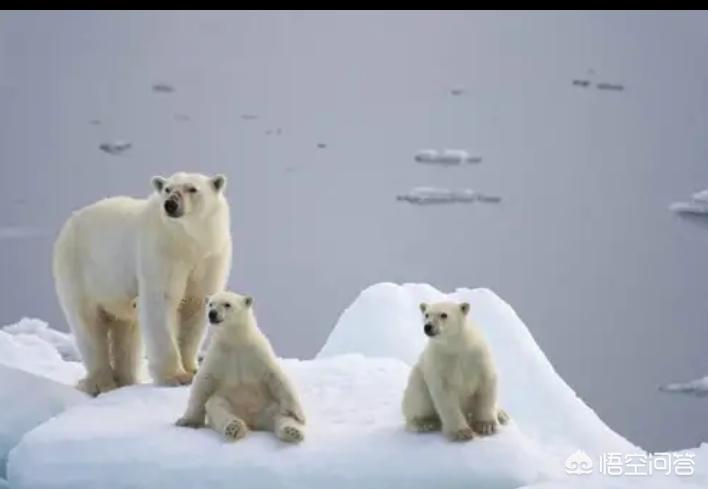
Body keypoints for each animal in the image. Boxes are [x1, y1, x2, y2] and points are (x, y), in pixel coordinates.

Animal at [56, 172, 232, 392]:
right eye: (167, 189)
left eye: (192, 188)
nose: (170, 204)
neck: (186, 242)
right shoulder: (162, 253)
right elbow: (161, 302)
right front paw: (175, 376)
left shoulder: (210, 257)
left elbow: (195, 306)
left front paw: (192, 371)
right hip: (81, 273)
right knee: (89, 325)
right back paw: (101, 383)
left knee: (126, 331)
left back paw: (126, 379)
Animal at [176, 292, 306, 444]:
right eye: (211, 304)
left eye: (227, 304)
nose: (212, 314)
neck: (236, 340)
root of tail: (252, 420)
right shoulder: (218, 356)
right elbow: (204, 381)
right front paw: (186, 421)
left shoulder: (257, 352)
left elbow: (276, 376)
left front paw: (299, 415)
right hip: (229, 403)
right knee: (218, 407)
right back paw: (234, 428)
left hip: (269, 405)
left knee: (281, 414)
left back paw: (292, 432)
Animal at [402, 300, 506, 440]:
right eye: (426, 314)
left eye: (444, 314)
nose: (428, 326)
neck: (456, 346)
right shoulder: (440, 362)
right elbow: (445, 396)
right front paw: (462, 432)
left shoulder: (478, 356)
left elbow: (486, 384)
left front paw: (486, 425)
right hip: (418, 377)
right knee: (417, 395)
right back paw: (424, 423)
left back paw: (502, 415)